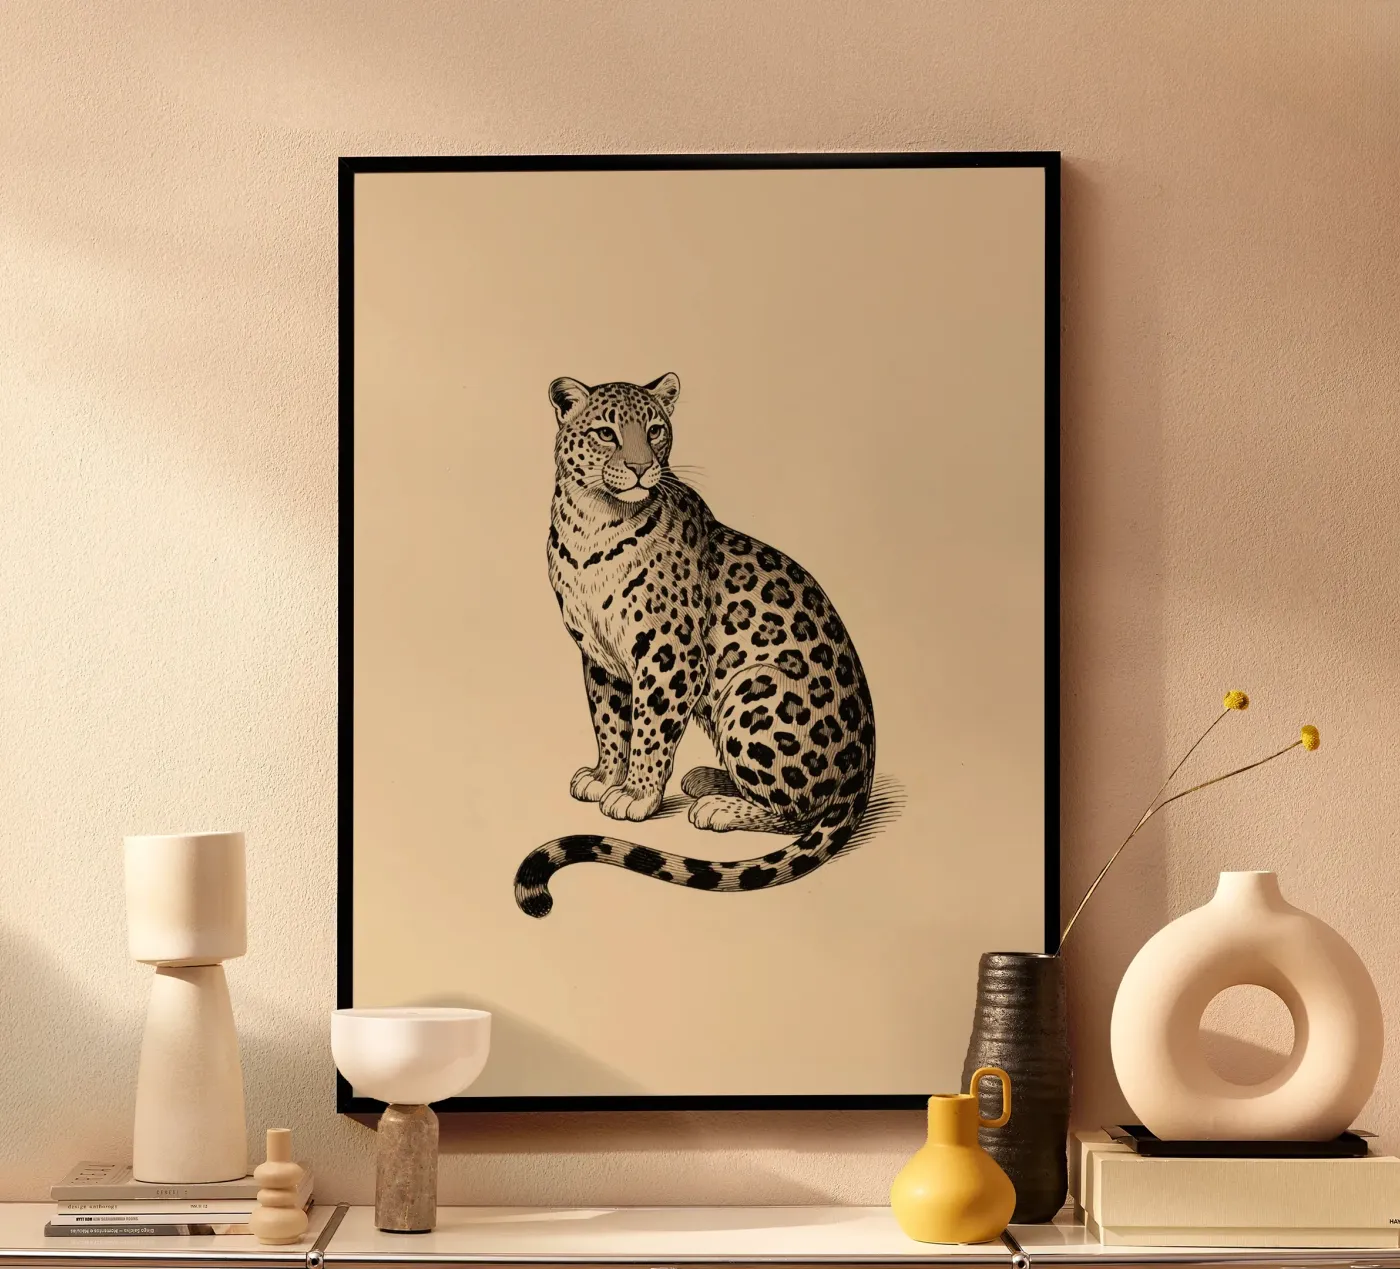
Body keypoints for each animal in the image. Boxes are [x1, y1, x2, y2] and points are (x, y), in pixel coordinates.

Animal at [514, 373, 876, 918]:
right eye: (606, 433)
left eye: (655, 430)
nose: (641, 468)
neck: (592, 522)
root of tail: (864, 771)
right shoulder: (599, 657)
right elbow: (609, 722)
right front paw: (605, 776)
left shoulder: (670, 655)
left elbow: (650, 730)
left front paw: (636, 795)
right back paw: (707, 778)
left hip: (755, 692)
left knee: (799, 811)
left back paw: (718, 806)